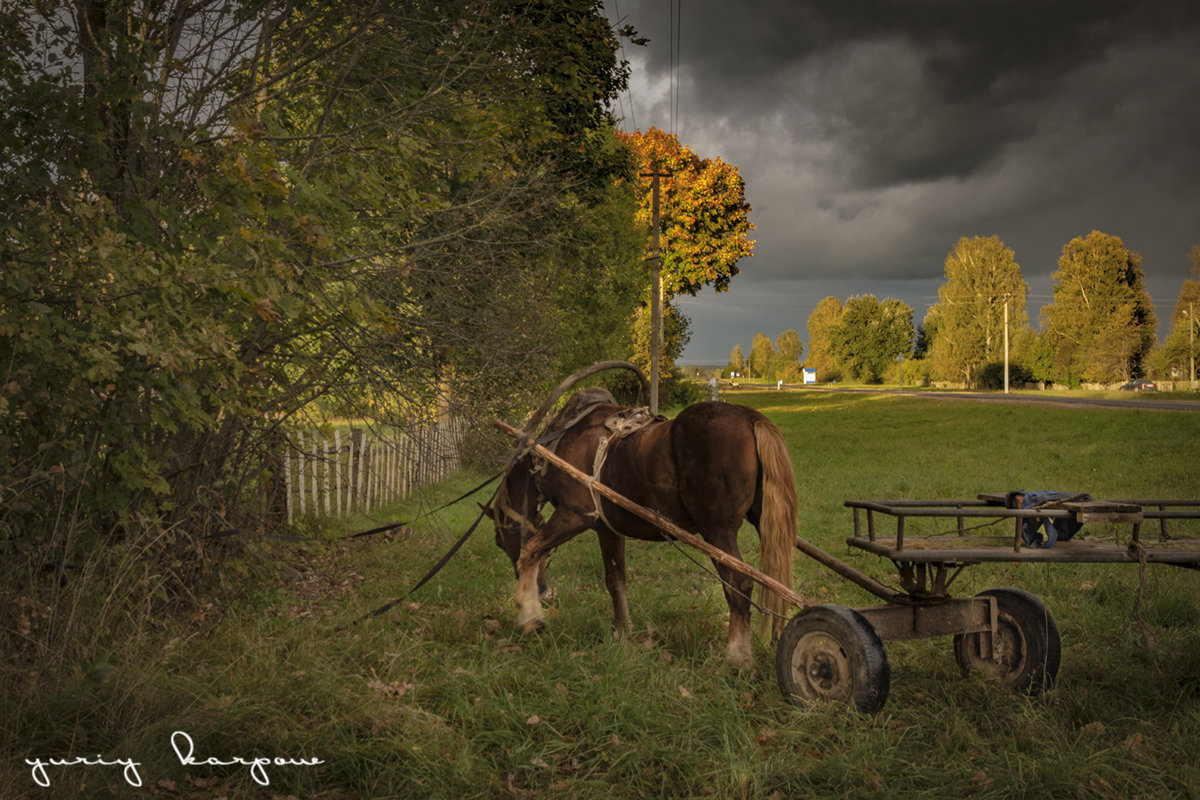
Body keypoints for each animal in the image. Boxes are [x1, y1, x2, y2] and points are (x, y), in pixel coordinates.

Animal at [487, 388, 796, 671]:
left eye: (499, 540)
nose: (543, 591)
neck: (557, 444)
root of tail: (751, 417)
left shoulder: (574, 516)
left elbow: (531, 550)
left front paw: (529, 617)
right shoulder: (607, 530)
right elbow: (615, 579)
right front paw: (623, 630)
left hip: (718, 532)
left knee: (739, 584)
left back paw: (737, 658)